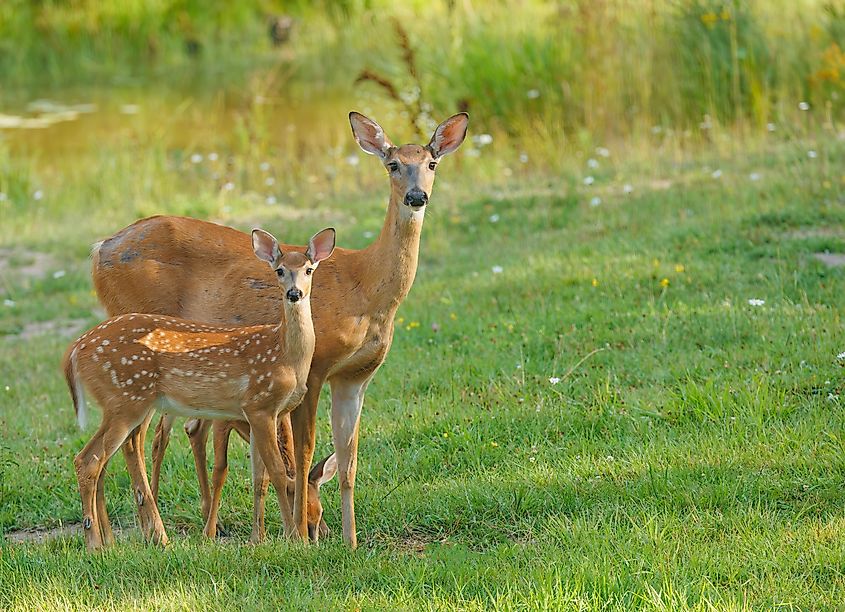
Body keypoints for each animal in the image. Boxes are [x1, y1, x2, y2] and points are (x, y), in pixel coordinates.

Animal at [64, 226, 334, 548]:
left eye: (308, 269)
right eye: (279, 270)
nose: (295, 293)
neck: (285, 355)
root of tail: (76, 349)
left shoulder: (266, 414)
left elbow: (261, 476)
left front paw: (260, 538)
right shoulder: (259, 406)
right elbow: (277, 473)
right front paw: (293, 538)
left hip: (120, 404)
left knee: (102, 458)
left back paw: (111, 541)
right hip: (126, 400)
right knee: (91, 459)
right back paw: (99, 543)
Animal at [95, 110, 472, 544]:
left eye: (432, 163)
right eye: (393, 164)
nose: (416, 196)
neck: (366, 288)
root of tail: (99, 250)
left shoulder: (357, 376)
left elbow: (348, 459)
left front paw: (350, 541)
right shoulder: (316, 366)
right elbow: (305, 450)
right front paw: (300, 535)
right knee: (134, 439)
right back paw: (154, 533)